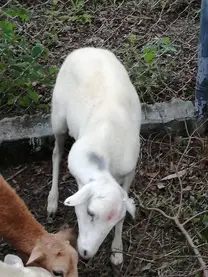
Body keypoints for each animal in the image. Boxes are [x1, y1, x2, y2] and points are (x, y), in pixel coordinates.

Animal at [47, 46, 141, 264]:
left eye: (112, 222)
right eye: (90, 212)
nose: (86, 255)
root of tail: (87, 49)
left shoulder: (129, 171)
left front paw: (117, 251)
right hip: (58, 117)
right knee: (56, 152)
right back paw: (52, 201)